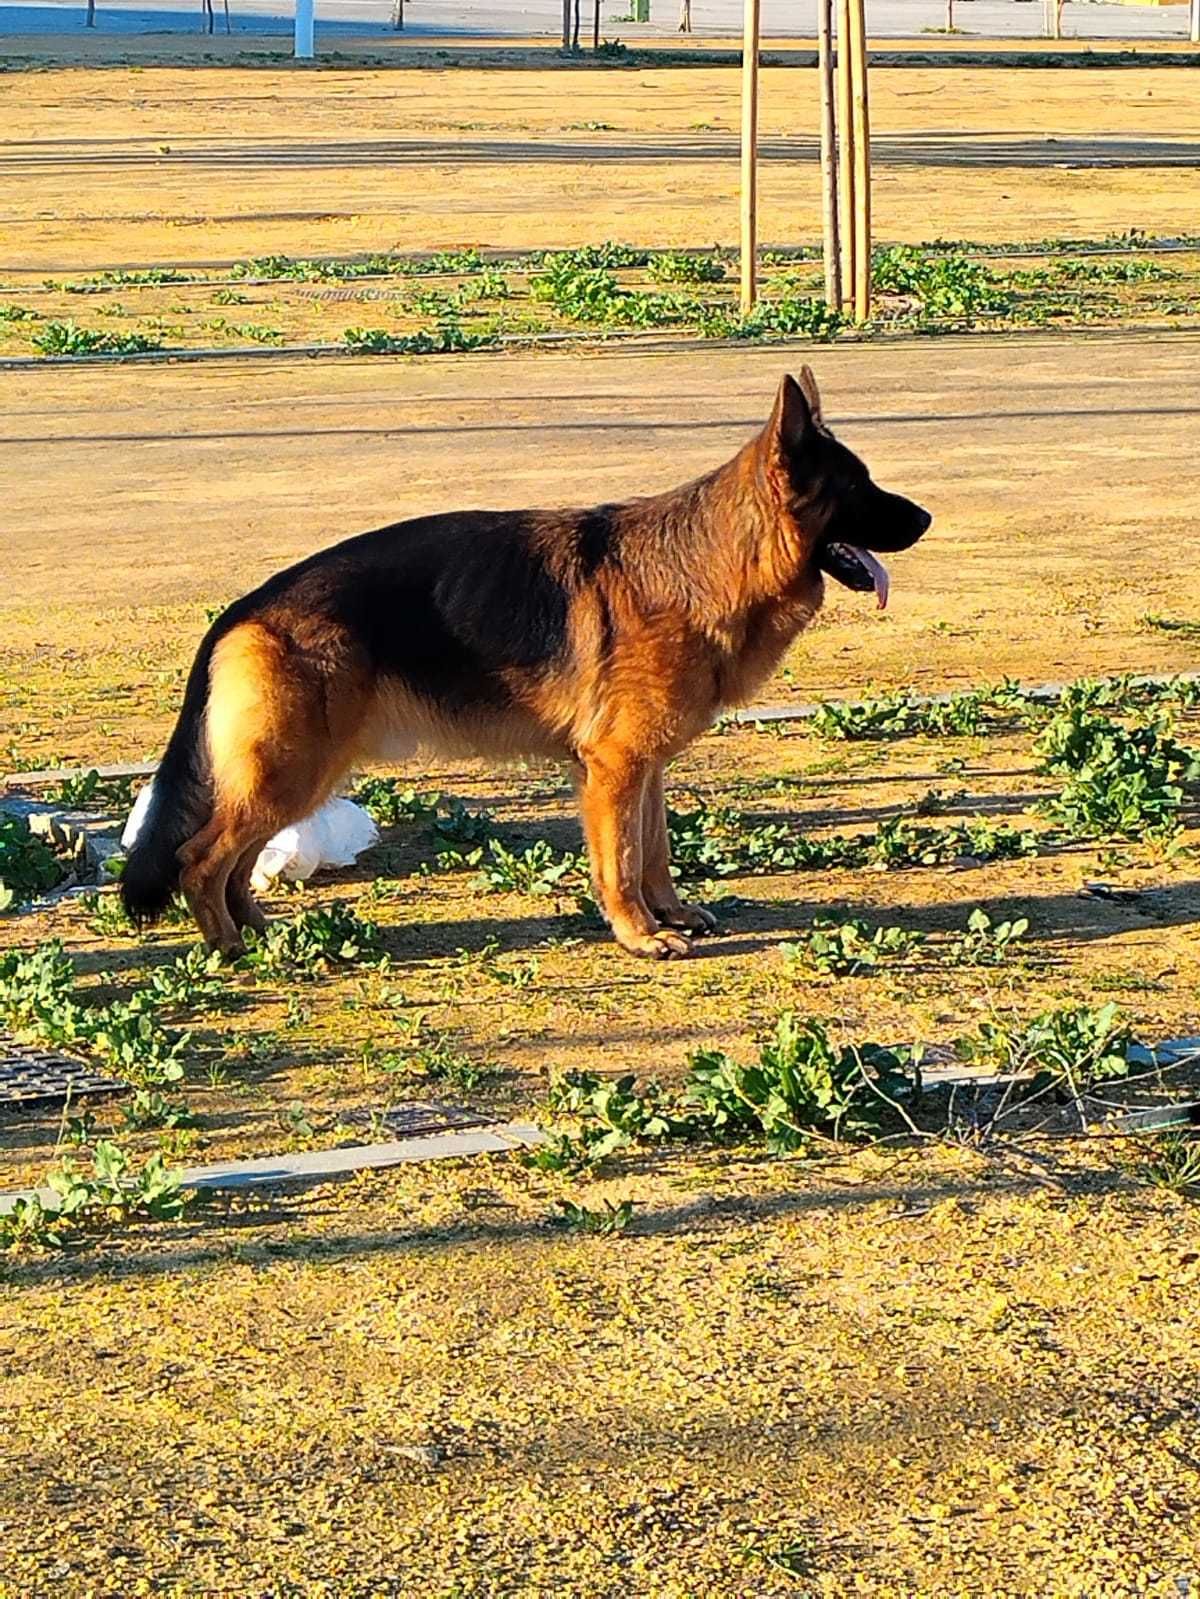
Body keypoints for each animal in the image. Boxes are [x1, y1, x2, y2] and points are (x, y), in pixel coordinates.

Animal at [124, 367, 928, 953]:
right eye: (859, 488)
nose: (926, 517)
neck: (709, 562)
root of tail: (244, 608)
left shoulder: (644, 766)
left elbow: (655, 849)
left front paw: (669, 914)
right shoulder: (613, 770)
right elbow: (621, 861)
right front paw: (640, 936)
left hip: (296, 775)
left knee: (231, 860)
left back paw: (258, 933)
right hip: (292, 771)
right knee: (201, 857)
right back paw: (228, 947)